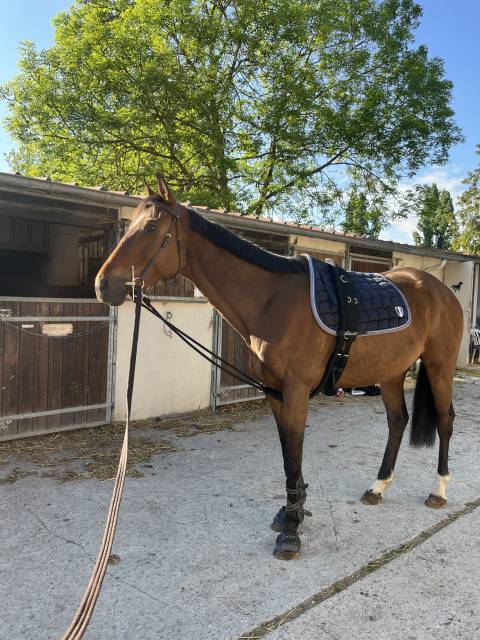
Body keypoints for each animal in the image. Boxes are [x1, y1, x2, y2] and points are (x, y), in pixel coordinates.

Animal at [96, 175, 463, 560]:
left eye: (151, 227)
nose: (103, 284)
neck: (273, 300)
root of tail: (441, 291)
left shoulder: (296, 390)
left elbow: (294, 456)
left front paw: (290, 532)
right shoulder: (274, 391)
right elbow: (288, 452)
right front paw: (292, 512)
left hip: (439, 367)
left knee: (445, 420)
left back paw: (438, 491)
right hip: (391, 372)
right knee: (397, 421)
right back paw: (377, 488)